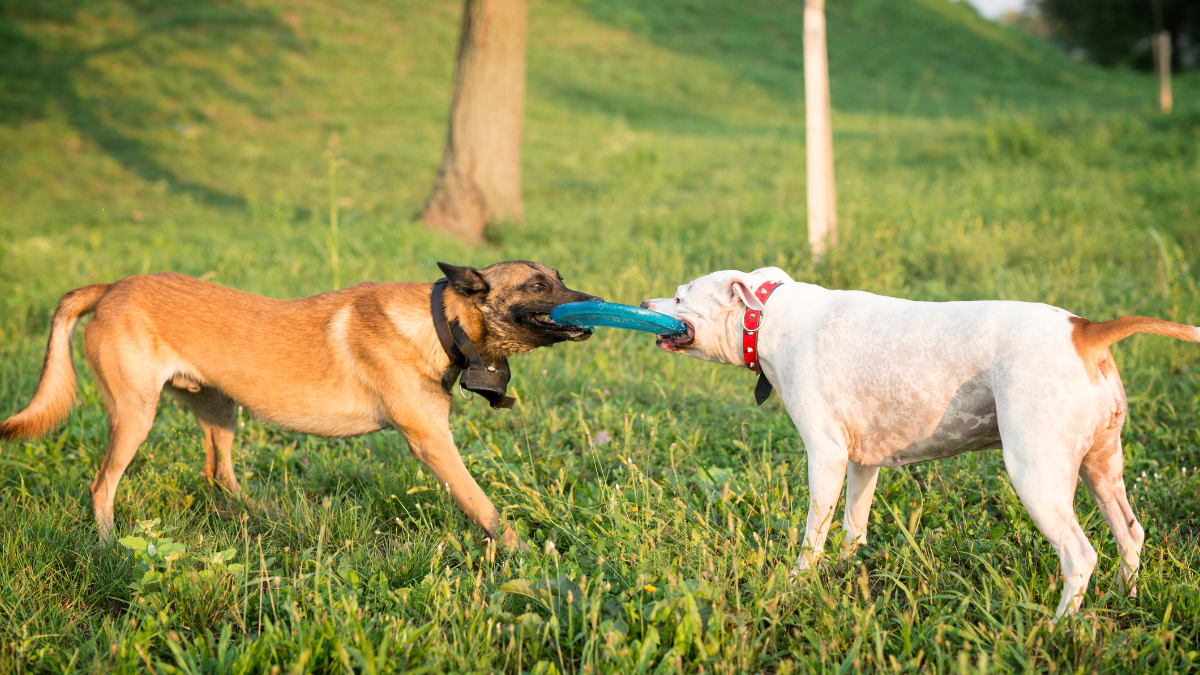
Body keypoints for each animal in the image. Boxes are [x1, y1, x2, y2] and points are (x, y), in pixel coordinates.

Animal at [0, 260, 600, 542]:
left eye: (560, 277)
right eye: (537, 286)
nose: (596, 301)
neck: (440, 321)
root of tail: (111, 287)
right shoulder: (432, 443)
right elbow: (483, 506)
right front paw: (527, 554)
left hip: (221, 410)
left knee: (219, 474)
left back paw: (266, 515)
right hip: (134, 416)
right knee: (102, 487)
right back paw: (107, 546)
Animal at [648, 266, 1200, 614]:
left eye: (679, 296)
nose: (644, 303)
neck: (766, 316)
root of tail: (1085, 331)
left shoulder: (825, 457)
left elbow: (813, 534)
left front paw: (798, 583)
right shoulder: (860, 462)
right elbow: (853, 525)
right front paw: (850, 570)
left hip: (1036, 475)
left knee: (1080, 556)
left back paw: (1058, 627)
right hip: (1101, 468)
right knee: (1130, 534)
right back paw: (1126, 599)